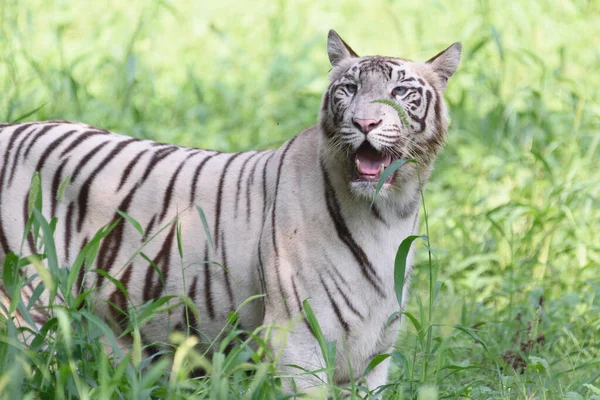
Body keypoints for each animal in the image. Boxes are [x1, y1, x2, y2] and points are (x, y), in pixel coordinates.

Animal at [0, 31, 460, 394]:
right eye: (348, 88)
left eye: (399, 92)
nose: (364, 123)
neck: (388, 212)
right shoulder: (297, 336)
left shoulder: (374, 350)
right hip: (25, 306)